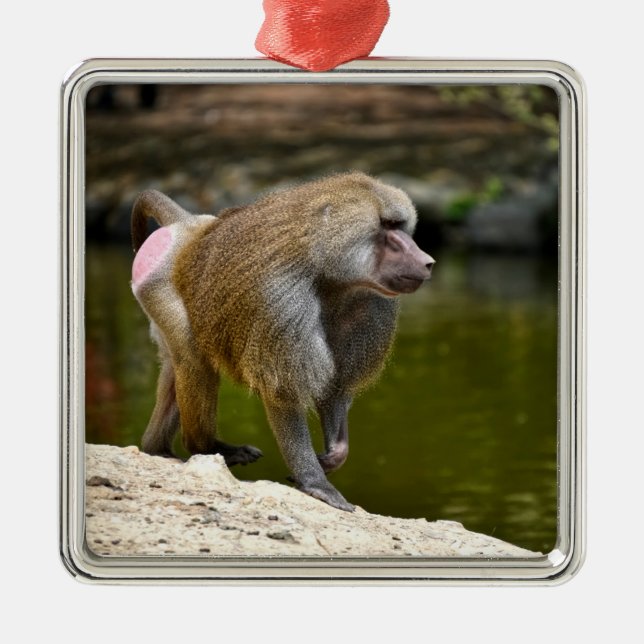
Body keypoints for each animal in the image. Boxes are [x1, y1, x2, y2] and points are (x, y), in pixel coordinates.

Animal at [131, 172, 435, 511]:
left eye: (400, 226)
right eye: (387, 227)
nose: (427, 262)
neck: (329, 276)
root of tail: (189, 226)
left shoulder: (368, 307)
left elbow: (336, 387)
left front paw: (332, 457)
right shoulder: (281, 301)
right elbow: (283, 393)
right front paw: (317, 483)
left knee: (178, 363)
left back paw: (158, 448)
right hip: (159, 283)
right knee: (193, 357)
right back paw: (205, 447)